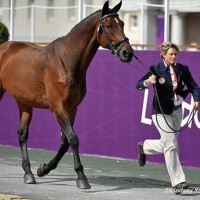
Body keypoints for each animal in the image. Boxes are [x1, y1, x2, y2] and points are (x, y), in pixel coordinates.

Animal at [0, 0, 134, 189]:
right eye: (108, 25)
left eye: (121, 24)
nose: (128, 52)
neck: (65, 61)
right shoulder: (58, 108)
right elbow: (73, 138)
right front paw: (81, 177)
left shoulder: (72, 108)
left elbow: (65, 142)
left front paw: (44, 169)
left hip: (24, 102)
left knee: (22, 134)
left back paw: (28, 173)